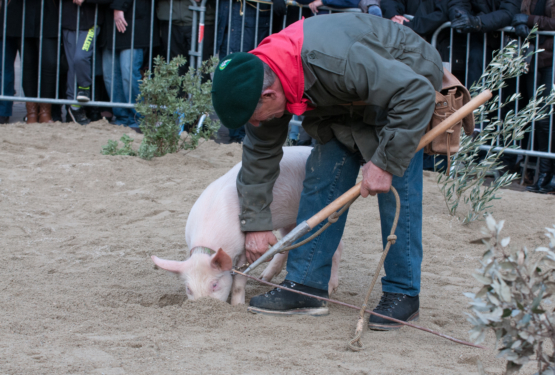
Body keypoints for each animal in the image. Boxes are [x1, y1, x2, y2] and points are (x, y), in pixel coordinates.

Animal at [152, 147, 344, 306]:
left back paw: (330, 290)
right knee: (288, 243)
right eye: (188, 288)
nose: (203, 306)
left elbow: (238, 282)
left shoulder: (244, 249)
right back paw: (263, 277)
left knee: (335, 247)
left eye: (214, 284)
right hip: (289, 221)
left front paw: (237, 305)